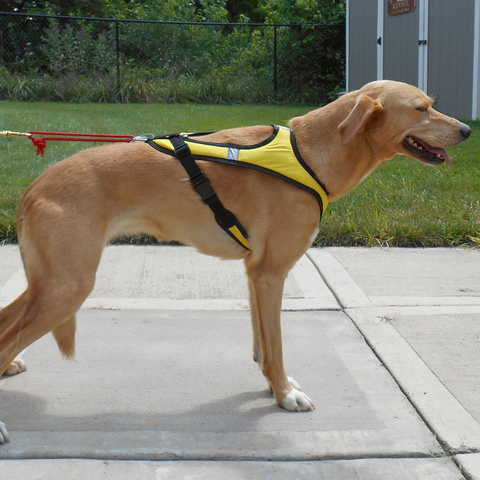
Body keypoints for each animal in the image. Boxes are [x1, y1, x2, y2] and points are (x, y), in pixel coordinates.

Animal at [0, 79, 470, 442]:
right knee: (8, 337)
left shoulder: (255, 273)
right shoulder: (272, 273)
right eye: (422, 109)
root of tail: (35, 186)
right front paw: (284, 396)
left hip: (52, 283)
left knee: (6, 325)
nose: (467, 129)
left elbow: (263, 344)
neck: (309, 154)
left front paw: (274, 386)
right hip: (68, 287)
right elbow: (276, 345)